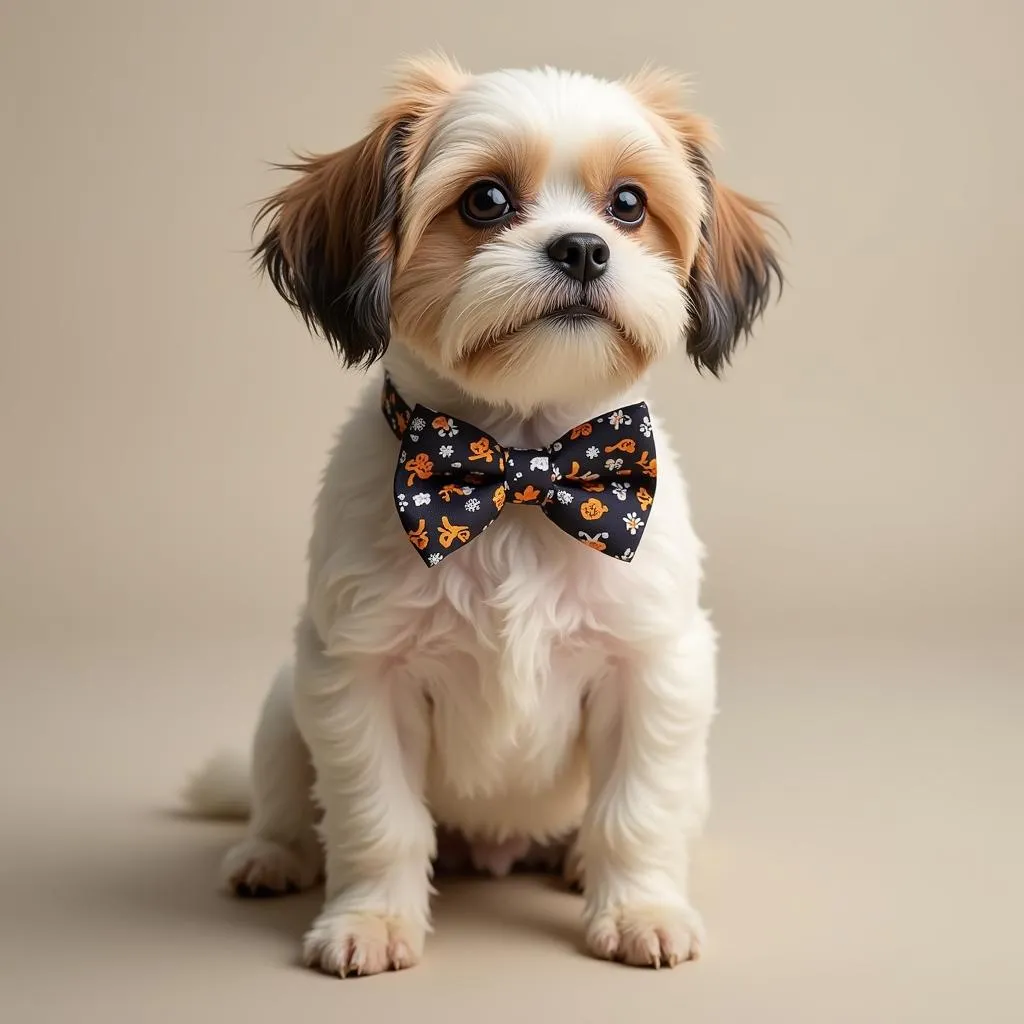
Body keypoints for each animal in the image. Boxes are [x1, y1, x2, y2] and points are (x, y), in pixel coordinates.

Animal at [184, 54, 778, 974]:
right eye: (486, 201)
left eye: (629, 204)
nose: (582, 247)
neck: (525, 474)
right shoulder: (359, 675)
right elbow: (376, 821)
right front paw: (371, 920)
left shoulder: (655, 668)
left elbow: (636, 812)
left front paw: (640, 908)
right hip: (287, 704)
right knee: (284, 801)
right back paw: (271, 856)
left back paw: (576, 864)